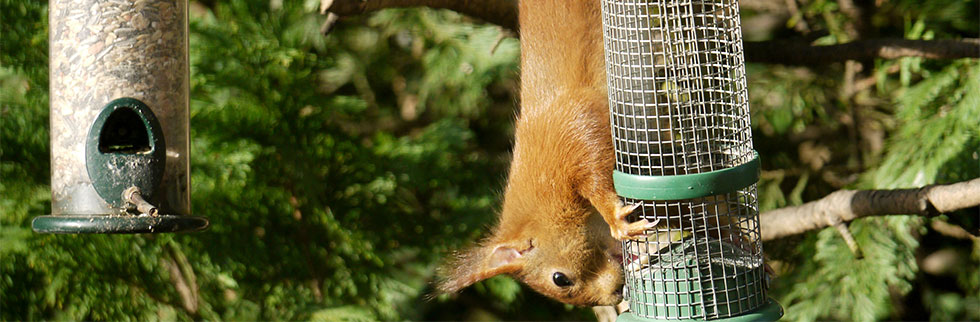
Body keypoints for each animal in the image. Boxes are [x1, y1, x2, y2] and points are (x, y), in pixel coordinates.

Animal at [434, 0, 656, 306]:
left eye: (560, 279)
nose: (615, 296)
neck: (544, 202)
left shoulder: (572, 131)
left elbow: (596, 172)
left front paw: (617, 220)